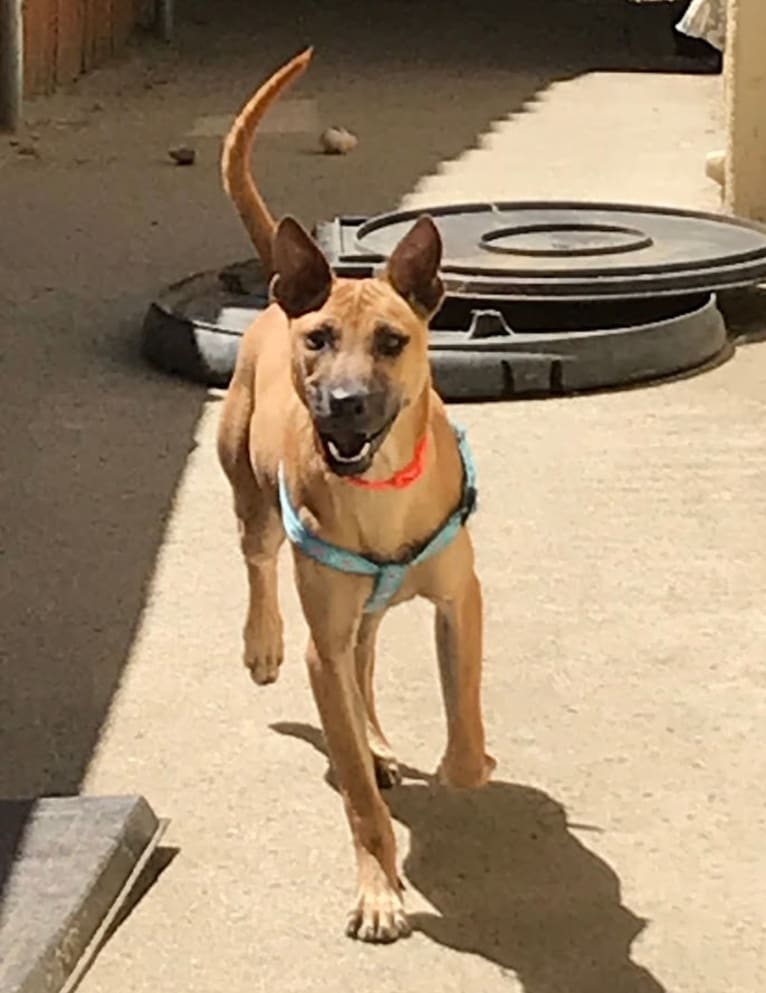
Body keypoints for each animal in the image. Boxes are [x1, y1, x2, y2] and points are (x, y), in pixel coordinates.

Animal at [219, 48, 496, 944]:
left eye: (392, 340)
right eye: (320, 341)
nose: (342, 405)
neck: (379, 488)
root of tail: (283, 285)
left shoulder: (460, 599)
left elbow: (463, 711)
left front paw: (465, 762)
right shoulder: (324, 644)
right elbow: (360, 797)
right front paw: (379, 888)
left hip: (366, 613)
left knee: (368, 665)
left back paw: (379, 743)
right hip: (247, 488)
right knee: (258, 560)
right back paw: (263, 645)